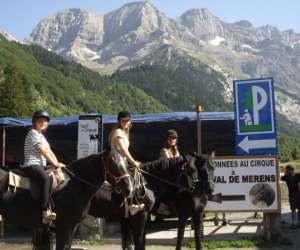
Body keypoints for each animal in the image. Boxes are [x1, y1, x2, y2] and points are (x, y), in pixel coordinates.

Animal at [0, 151, 132, 249]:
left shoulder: (71, 228)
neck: (75, 184)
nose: (128, 188)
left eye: (126, 164)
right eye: (113, 164)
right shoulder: (63, 228)